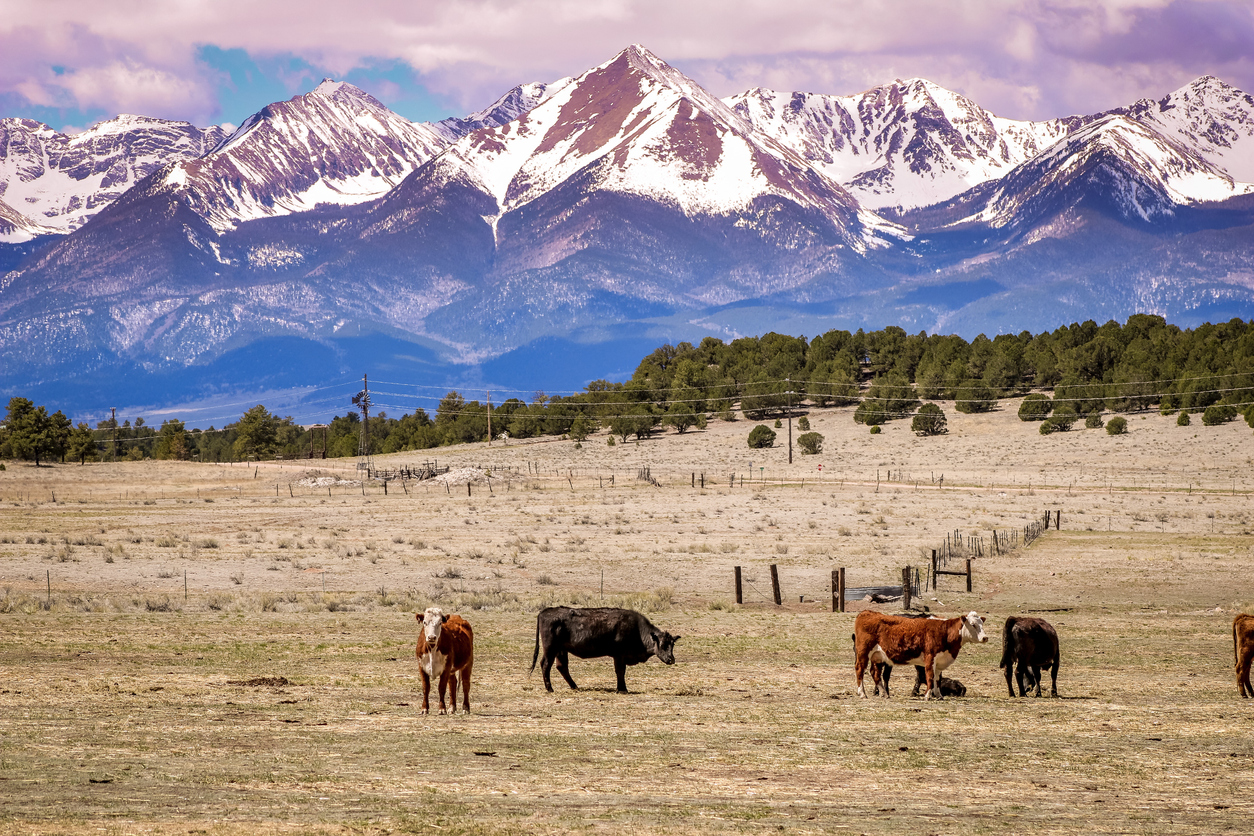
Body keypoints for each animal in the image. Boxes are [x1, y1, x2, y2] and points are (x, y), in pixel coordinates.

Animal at [531, 609, 682, 691]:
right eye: (663, 644)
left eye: (672, 644)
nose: (671, 659)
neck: (637, 630)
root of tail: (545, 611)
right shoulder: (619, 655)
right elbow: (620, 672)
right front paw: (622, 689)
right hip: (550, 649)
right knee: (546, 665)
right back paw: (550, 688)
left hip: (561, 650)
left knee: (562, 667)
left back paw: (574, 686)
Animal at [852, 609, 988, 701]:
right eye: (973, 624)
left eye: (982, 624)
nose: (985, 638)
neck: (945, 631)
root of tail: (867, 613)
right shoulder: (929, 658)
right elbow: (930, 677)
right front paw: (927, 696)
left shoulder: (939, 661)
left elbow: (937, 679)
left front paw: (939, 695)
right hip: (863, 652)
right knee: (860, 670)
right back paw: (862, 693)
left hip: (878, 657)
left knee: (875, 673)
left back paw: (883, 693)